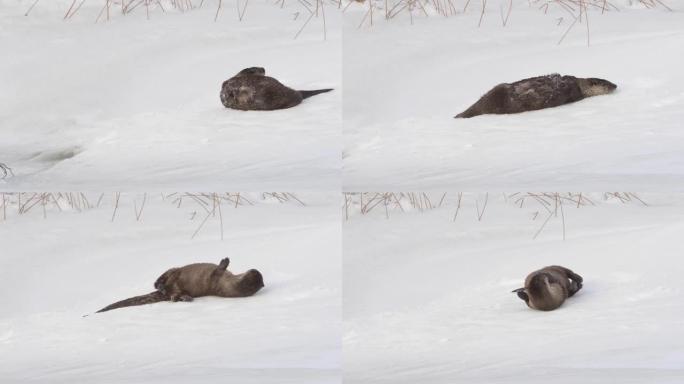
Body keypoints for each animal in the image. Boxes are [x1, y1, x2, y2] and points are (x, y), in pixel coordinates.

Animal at [97, 258, 264, 312]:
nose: (253, 269)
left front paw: (225, 261)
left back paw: (179, 295)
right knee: (161, 283)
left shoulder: (217, 276)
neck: (227, 283)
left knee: (168, 293)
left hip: (173, 276)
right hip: (173, 271)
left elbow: (218, 269)